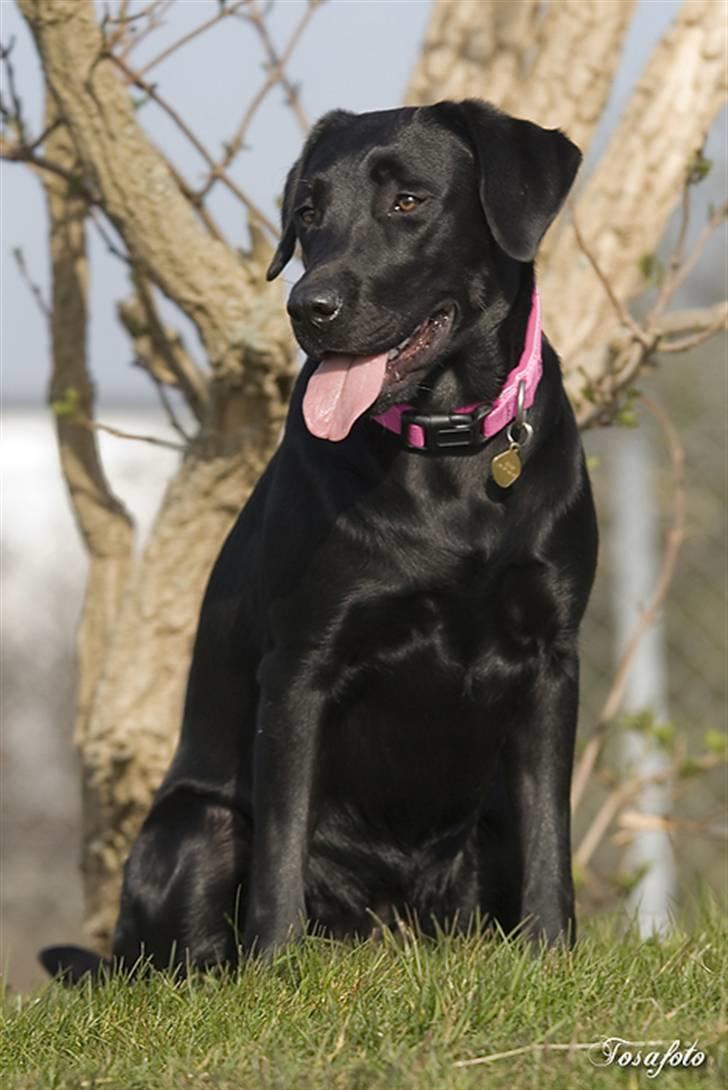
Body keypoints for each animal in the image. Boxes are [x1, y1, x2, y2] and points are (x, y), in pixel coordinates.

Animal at [41, 102, 597, 985]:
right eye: (308, 214)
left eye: (409, 201)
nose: (310, 307)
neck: (446, 450)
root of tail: (387, 929)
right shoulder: (303, 660)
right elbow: (282, 845)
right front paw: (273, 973)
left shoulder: (551, 657)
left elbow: (551, 834)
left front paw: (549, 955)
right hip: (194, 828)